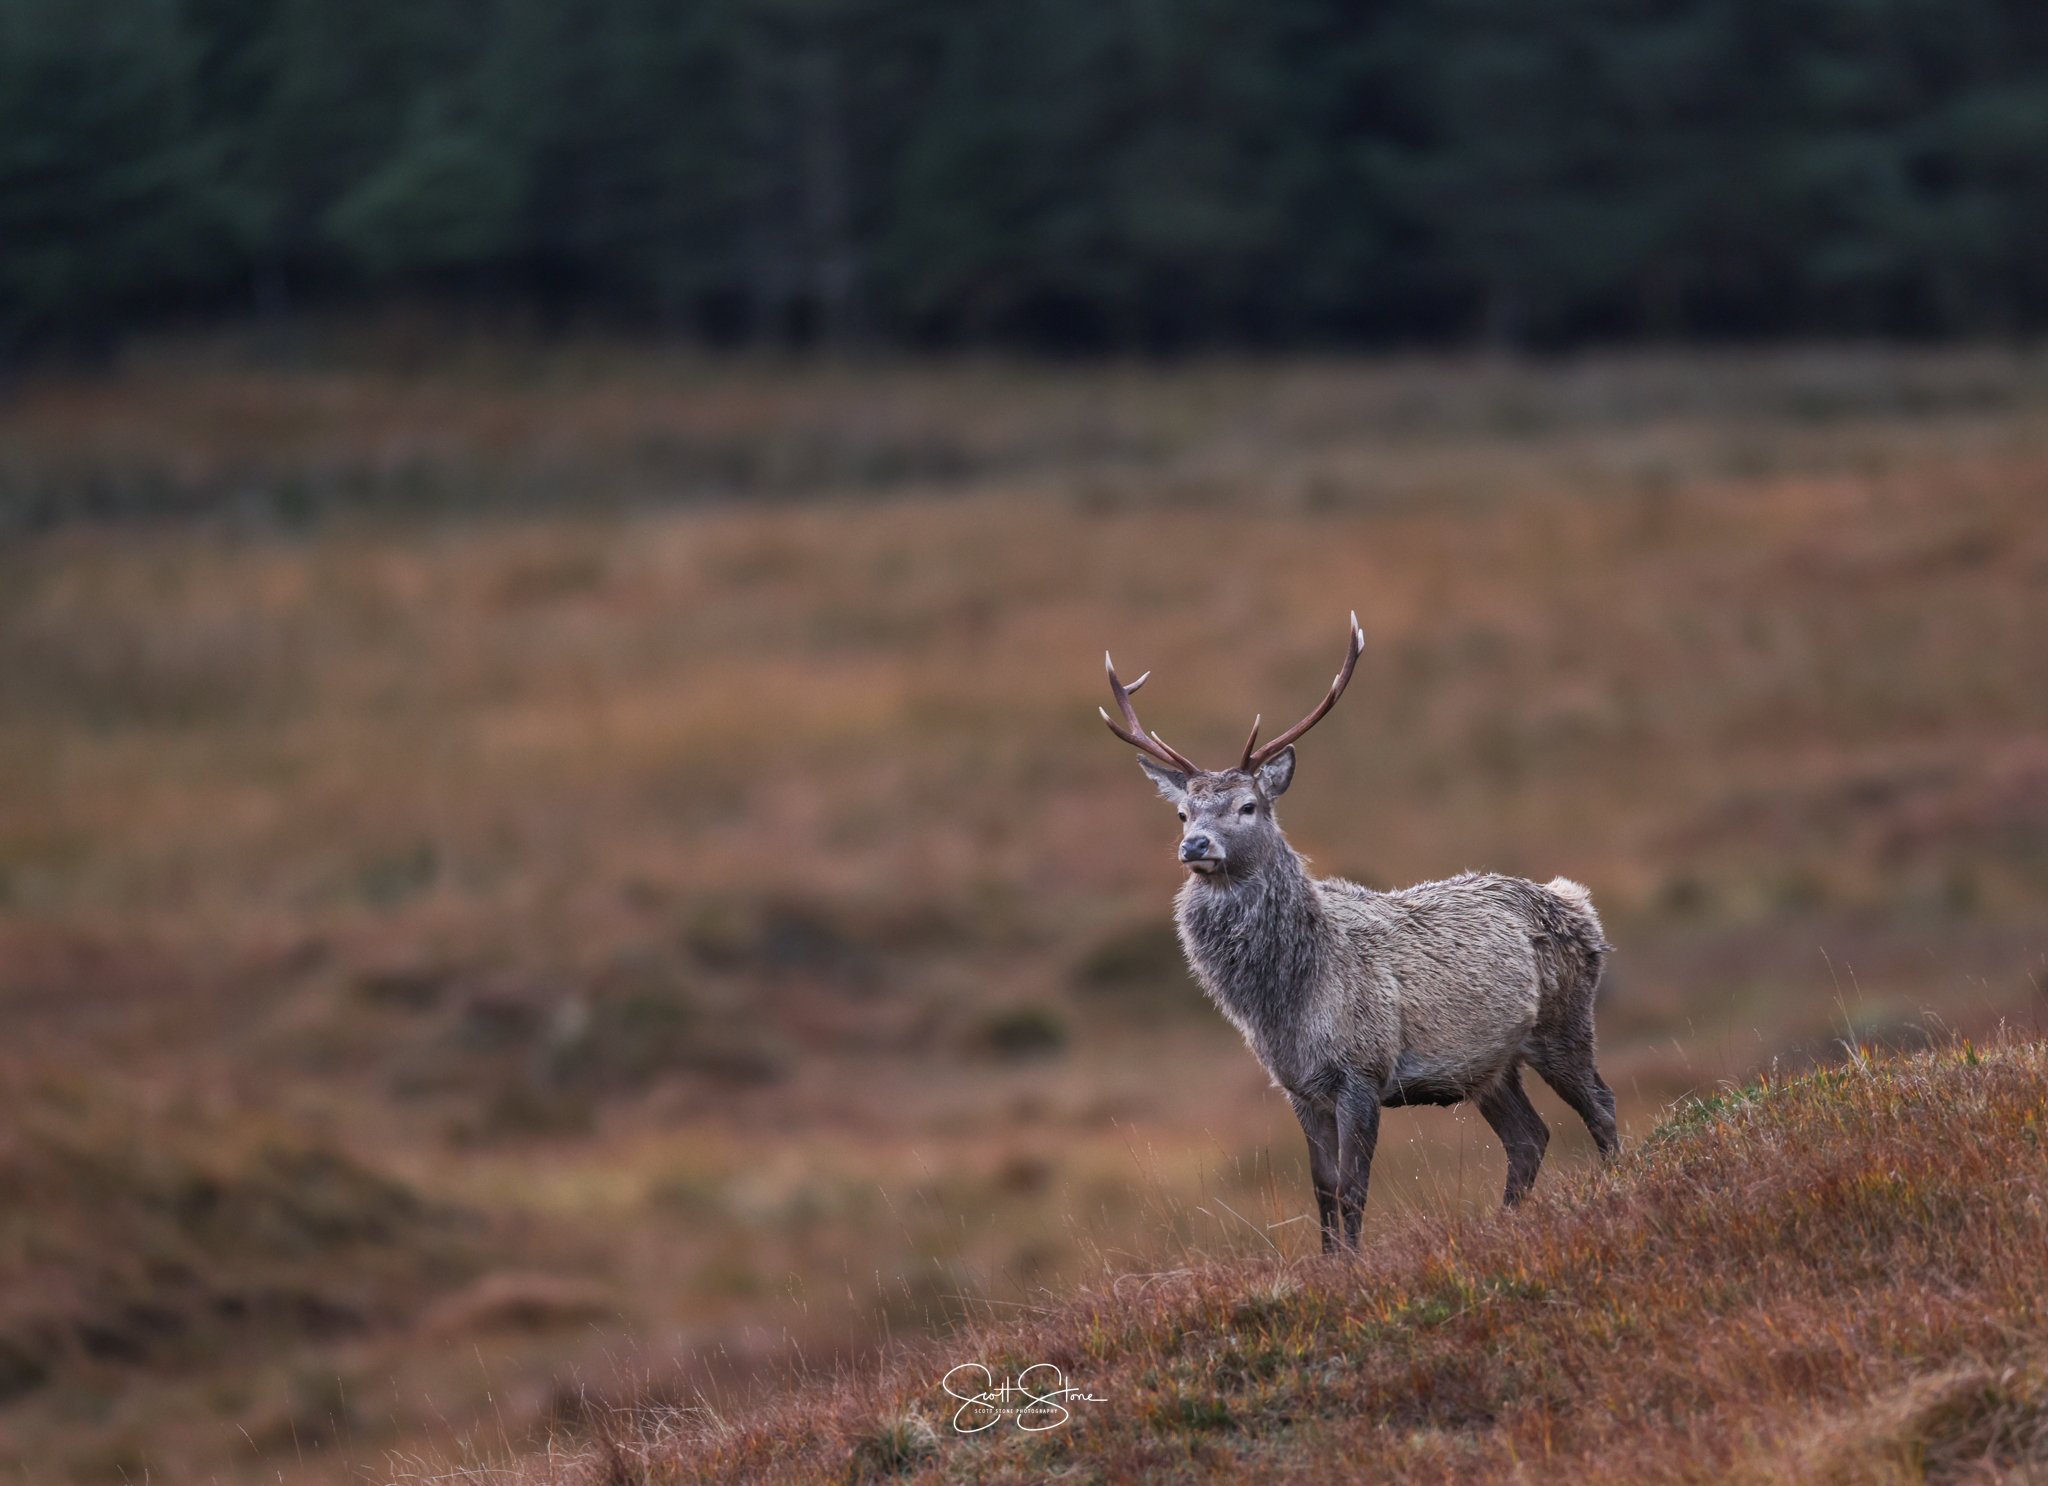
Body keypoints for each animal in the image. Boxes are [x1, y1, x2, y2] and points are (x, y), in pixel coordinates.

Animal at [1099, 614, 1618, 1253]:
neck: (1286, 1001)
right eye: (1181, 813)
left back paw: (1615, 1188)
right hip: (1489, 1065)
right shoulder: (1299, 1087)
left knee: (1601, 1107)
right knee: (1530, 1137)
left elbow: (1352, 1189)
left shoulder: (1363, 1072)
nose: (1195, 846)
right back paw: (1503, 1224)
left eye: (1248, 806)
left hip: (1563, 1024)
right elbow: (1322, 1191)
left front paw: (1355, 1264)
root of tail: (1579, 905)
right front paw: (1329, 1264)